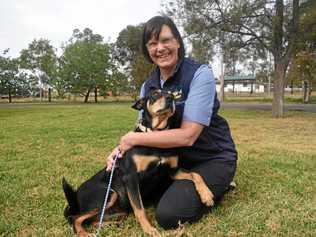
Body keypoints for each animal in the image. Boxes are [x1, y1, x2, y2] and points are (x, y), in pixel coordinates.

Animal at [61, 89, 215, 237]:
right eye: (155, 94)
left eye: (171, 93)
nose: (170, 98)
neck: (156, 136)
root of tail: (75, 197)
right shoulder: (131, 177)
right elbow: (139, 209)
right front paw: (149, 230)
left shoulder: (172, 170)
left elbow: (195, 174)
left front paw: (206, 195)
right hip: (108, 194)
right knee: (75, 218)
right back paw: (84, 233)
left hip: (118, 208)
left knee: (94, 220)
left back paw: (112, 225)